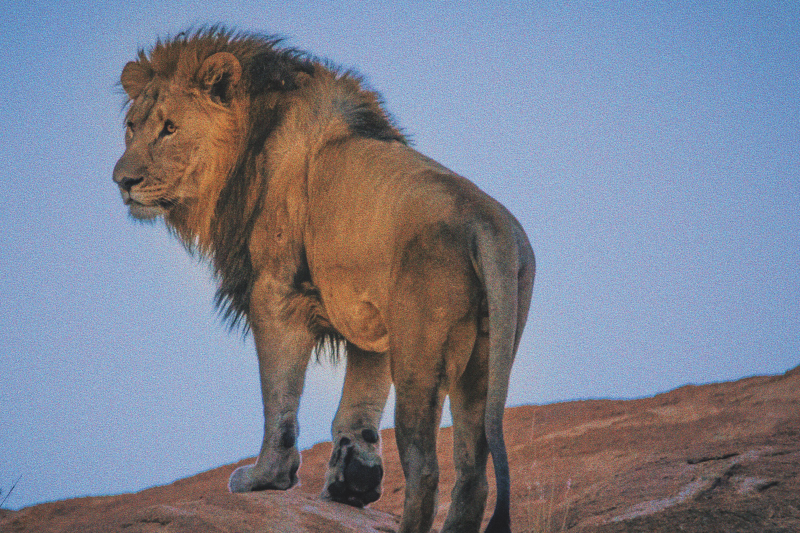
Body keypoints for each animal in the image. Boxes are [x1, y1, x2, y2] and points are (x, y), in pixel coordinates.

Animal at [112, 29, 536, 532]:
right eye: (131, 127)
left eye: (170, 128)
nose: (123, 181)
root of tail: (488, 225)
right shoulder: (371, 322)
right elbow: (358, 410)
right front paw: (351, 486)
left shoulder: (275, 293)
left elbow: (279, 398)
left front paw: (266, 477)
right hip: (485, 360)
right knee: (473, 477)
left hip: (421, 354)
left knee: (427, 469)